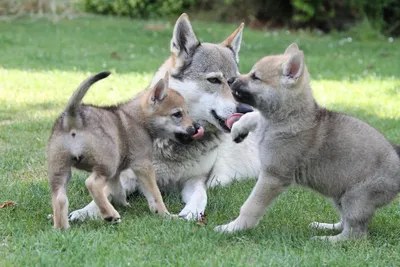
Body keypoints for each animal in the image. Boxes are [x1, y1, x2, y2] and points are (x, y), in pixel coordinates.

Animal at [47, 71, 203, 230]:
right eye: (177, 114)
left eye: (187, 112)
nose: (197, 127)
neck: (139, 120)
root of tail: (73, 118)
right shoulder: (143, 166)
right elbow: (155, 195)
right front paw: (166, 215)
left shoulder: (117, 173)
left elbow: (118, 191)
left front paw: (125, 205)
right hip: (106, 165)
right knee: (91, 183)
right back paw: (110, 215)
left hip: (60, 171)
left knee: (60, 198)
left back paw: (62, 228)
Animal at [216, 44, 400, 243]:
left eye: (255, 77)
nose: (229, 80)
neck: (287, 116)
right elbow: (252, 116)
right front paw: (238, 129)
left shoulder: (272, 176)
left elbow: (251, 206)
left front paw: (234, 227)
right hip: (339, 193)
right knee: (345, 223)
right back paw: (325, 227)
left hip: (356, 198)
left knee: (354, 234)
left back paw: (325, 240)